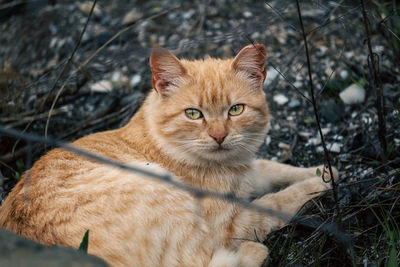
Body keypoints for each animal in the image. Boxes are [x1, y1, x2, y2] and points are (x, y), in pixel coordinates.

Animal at [0, 45, 338, 266]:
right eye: (193, 113)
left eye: (235, 109)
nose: (219, 136)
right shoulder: (228, 225)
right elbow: (276, 203)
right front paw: (316, 185)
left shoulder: (249, 168)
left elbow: (274, 168)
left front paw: (323, 171)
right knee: (202, 260)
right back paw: (254, 253)